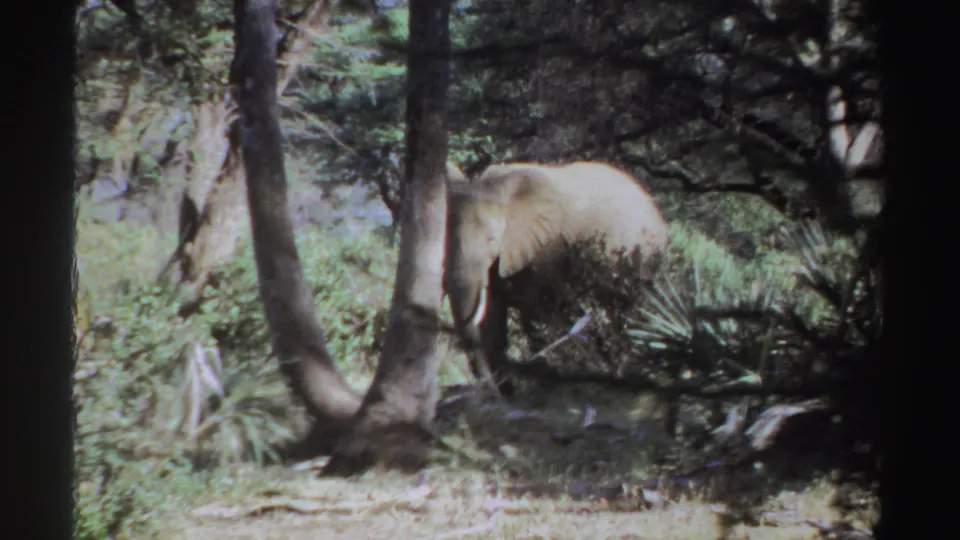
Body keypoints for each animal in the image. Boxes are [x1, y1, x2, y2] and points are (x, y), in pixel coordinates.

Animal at [443, 161, 669, 396]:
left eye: (491, 238)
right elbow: (493, 319)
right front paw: (506, 394)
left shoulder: (545, 249)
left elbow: (532, 312)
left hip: (642, 259)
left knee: (626, 316)